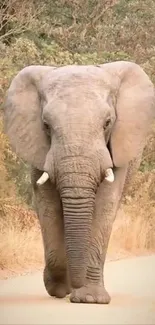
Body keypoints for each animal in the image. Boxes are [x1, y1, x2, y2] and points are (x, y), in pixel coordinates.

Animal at [3, 62, 155, 302]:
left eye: (107, 123)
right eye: (46, 125)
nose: (74, 285)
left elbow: (104, 207)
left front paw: (90, 299)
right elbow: (48, 206)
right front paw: (58, 288)